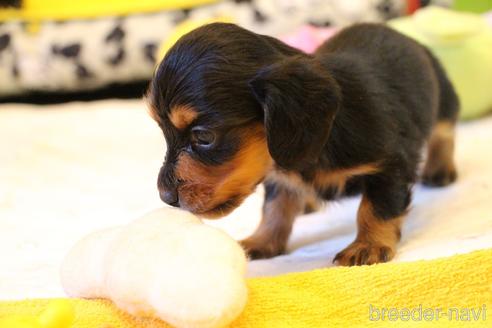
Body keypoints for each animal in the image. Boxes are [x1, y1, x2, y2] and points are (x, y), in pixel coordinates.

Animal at [145, 23, 458, 266]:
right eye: (163, 132)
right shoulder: (279, 178)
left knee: (444, 132)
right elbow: (275, 209)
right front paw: (261, 241)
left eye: (204, 137)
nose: (165, 197)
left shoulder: (390, 163)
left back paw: (440, 169)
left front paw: (367, 246)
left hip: (443, 96)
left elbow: (376, 207)